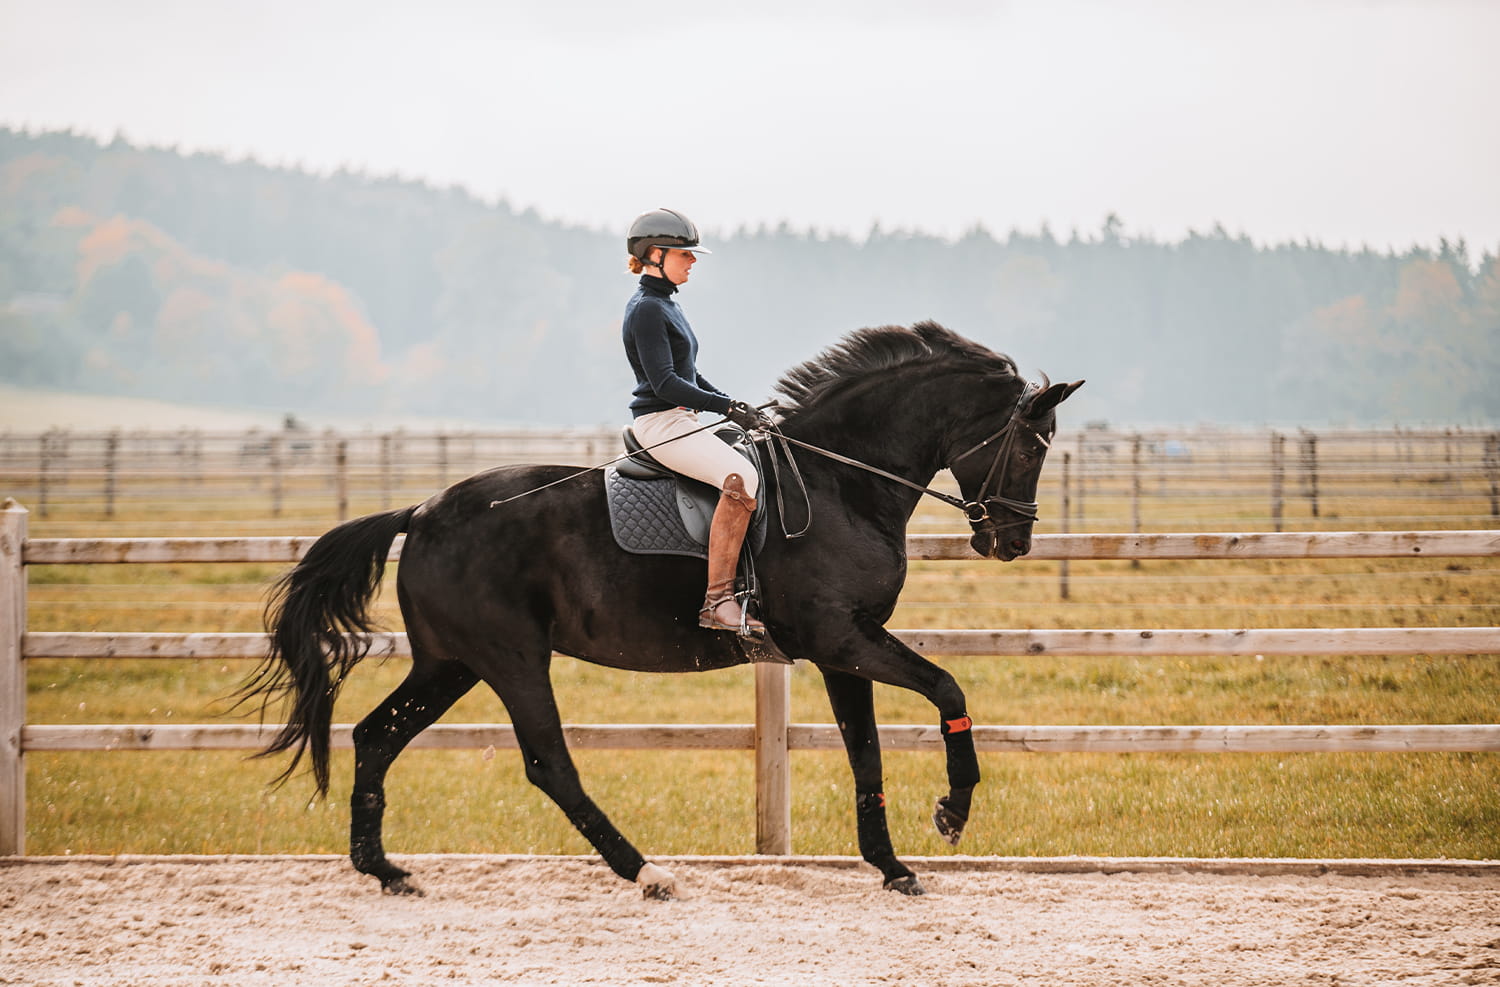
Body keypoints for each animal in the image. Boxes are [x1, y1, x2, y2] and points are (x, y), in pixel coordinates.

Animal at [240, 320, 1082, 899]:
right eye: (1029, 447)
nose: (1012, 540)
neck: (842, 481)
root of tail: (421, 511)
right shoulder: (843, 637)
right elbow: (948, 687)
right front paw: (953, 811)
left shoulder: (846, 646)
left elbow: (866, 752)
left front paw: (892, 864)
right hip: (511, 659)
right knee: (548, 762)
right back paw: (644, 870)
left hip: (452, 662)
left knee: (375, 735)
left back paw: (384, 869)